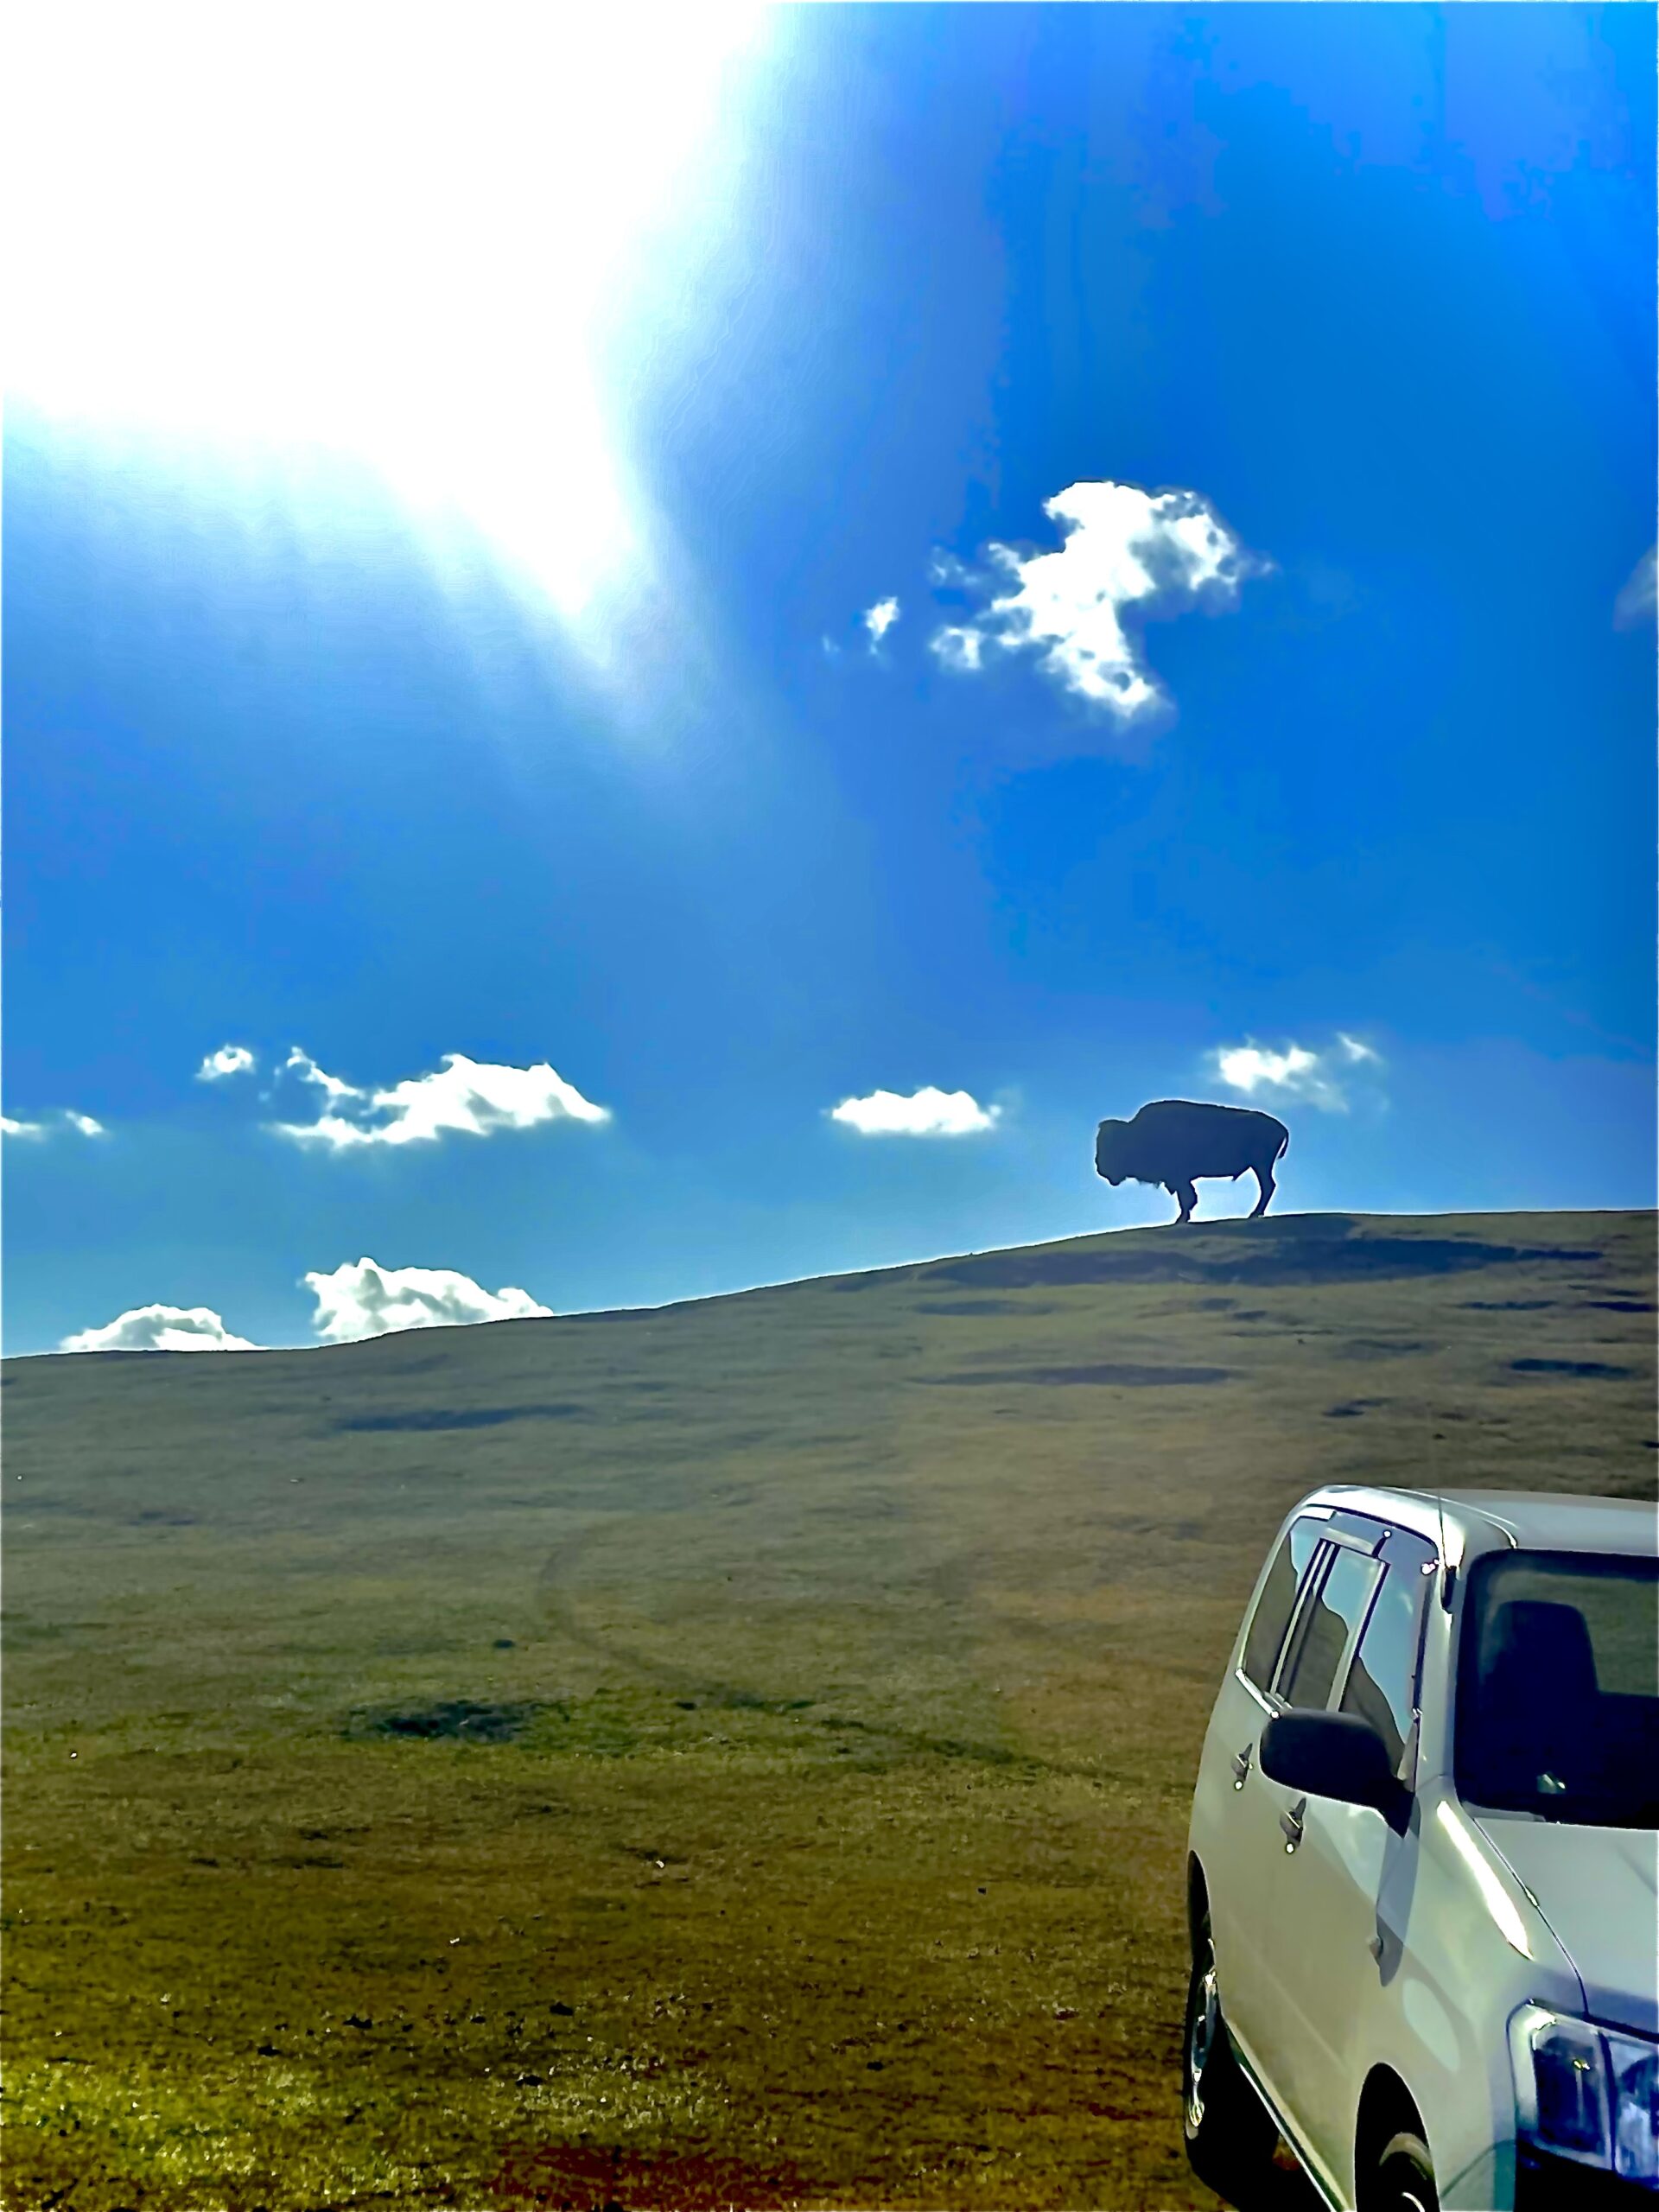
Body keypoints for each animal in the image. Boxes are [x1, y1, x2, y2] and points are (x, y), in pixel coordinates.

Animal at [1096, 1101, 1292, 1230]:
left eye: (1113, 1145)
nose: (1100, 1168)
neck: (1138, 1134)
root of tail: (1280, 1127)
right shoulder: (1179, 1180)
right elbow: (1187, 1197)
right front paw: (1182, 1218)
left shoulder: (1179, 1178)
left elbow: (1187, 1198)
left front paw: (1181, 1219)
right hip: (1260, 1166)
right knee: (1268, 1186)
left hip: (1260, 1165)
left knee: (1267, 1186)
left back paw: (1254, 1214)